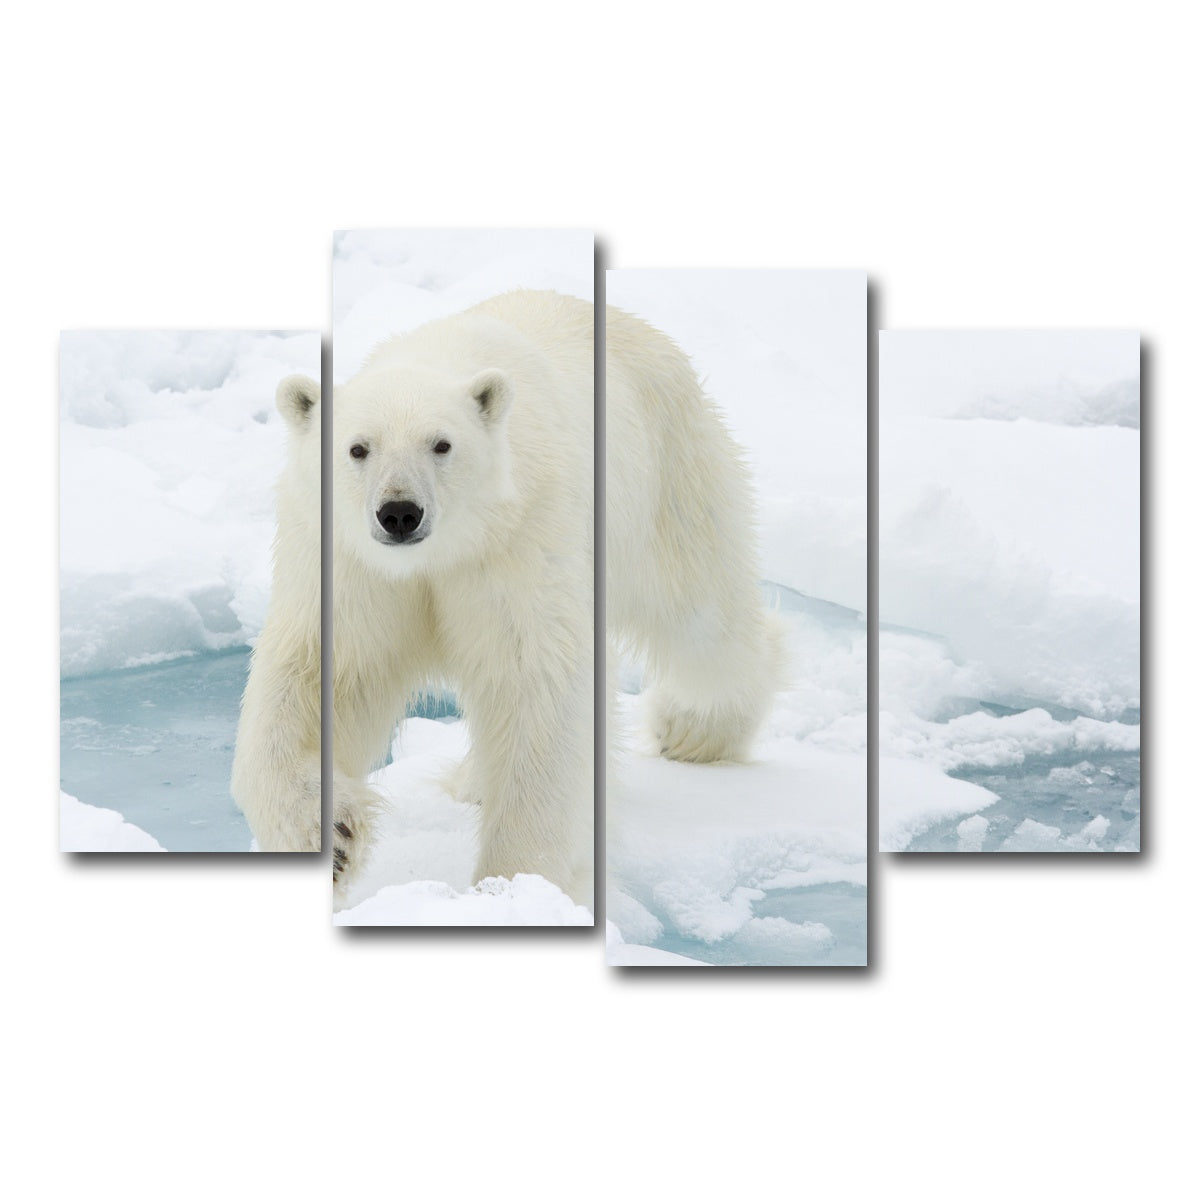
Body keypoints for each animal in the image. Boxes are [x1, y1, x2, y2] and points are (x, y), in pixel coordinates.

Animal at [232, 290, 779, 911]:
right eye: (357, 448)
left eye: (442, 444)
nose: (400, 513)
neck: (441, 554)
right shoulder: (350, 566)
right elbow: (317, 673)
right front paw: (330, 839)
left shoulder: (521, 537)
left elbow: (535, 684)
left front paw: (514, 884)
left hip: (668, 475)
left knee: (702, 616)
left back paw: (694, 730)